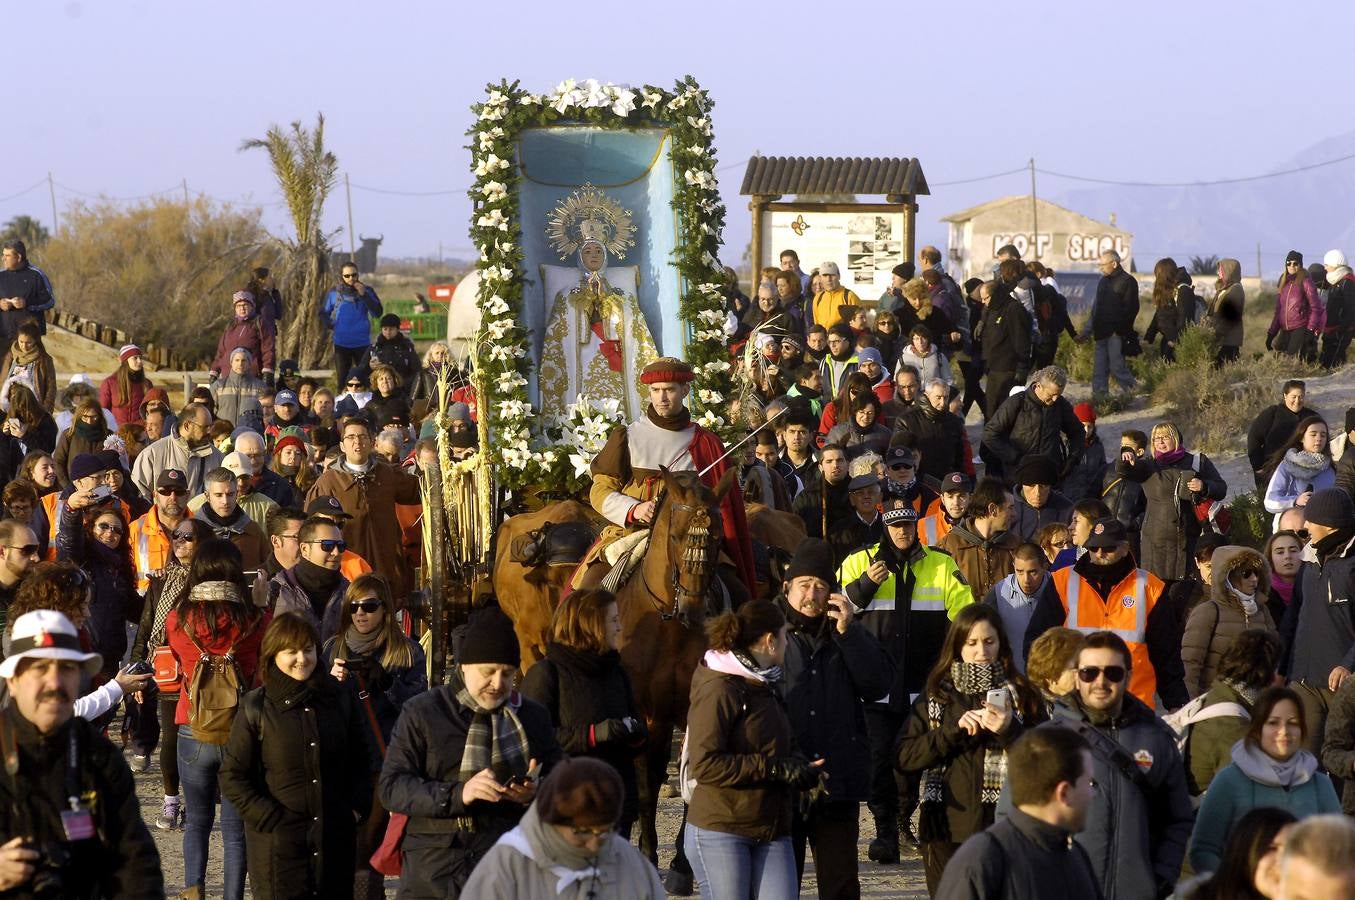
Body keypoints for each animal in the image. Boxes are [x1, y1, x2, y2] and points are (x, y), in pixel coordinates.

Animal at [620, 463, 747, 872]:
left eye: (719, 538)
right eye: (676, 536)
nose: (693, 611)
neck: (670, 628)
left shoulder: (700, 708)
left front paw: (682, 860)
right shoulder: (647, 714)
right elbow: (647, 782)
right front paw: (648, 852)